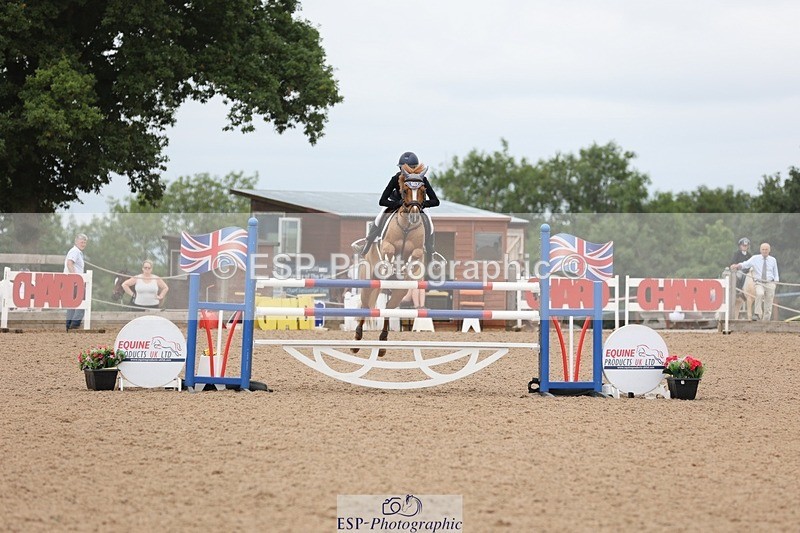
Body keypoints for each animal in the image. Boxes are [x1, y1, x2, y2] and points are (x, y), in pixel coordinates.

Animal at [353, 173, 428, 356]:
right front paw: (389, 268)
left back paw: (382, 343)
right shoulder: (387, 246)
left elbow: (413, 256)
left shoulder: (417, 250)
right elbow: (390, 252)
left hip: (399, 293)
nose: (414, 216)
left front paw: (403, 269)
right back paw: (357, 340)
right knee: (365, 306)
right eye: (405, 190)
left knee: (388, 308)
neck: (407, 227)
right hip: (368, 285)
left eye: (423, 190)